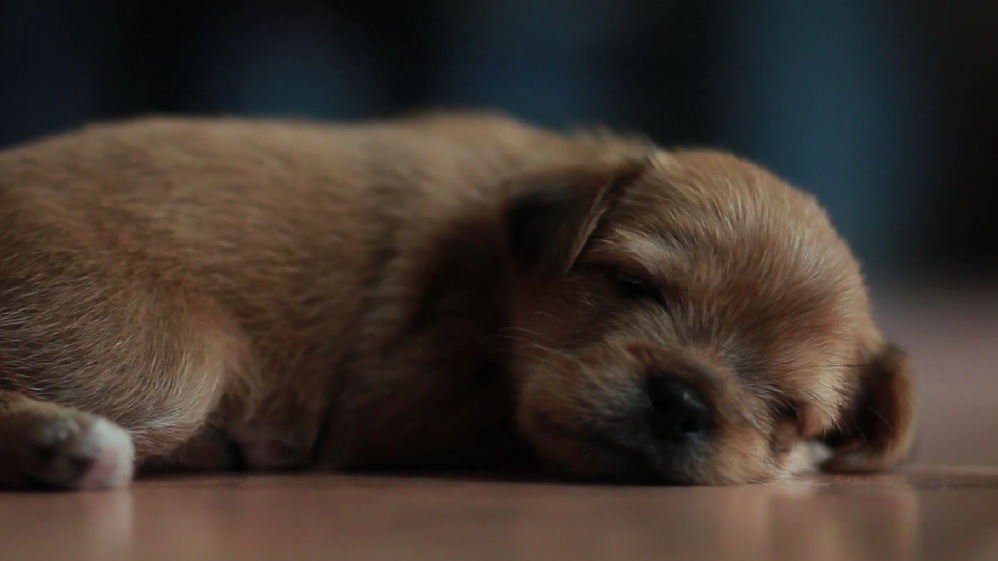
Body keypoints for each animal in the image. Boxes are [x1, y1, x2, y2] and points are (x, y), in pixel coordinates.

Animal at [0, 111, 916, 488]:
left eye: (788, 406)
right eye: (631, 284)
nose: (684, 399)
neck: (501, 264)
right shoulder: (396, 399)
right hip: (172, 361)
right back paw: (68, 441)